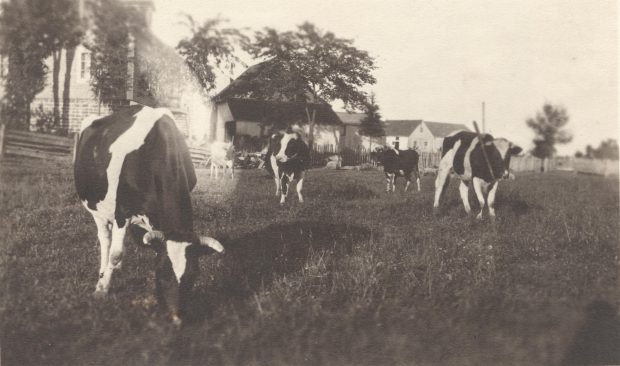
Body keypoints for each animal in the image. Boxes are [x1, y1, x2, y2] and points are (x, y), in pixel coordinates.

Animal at [75, 105, 225, 324]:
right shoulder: (122, 212)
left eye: (193, 275)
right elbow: (115, 254)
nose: (177, 317)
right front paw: (102, 289)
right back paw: (103, 274)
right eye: (162, 273)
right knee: (105, 240)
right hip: (96, 208)